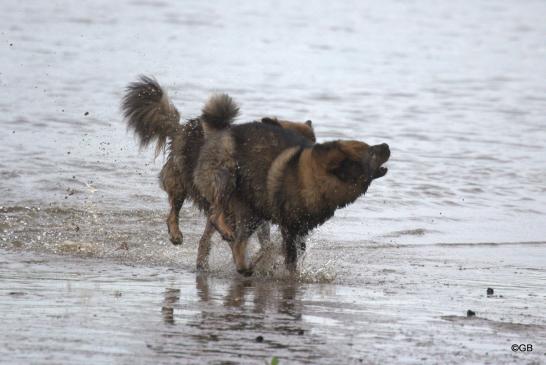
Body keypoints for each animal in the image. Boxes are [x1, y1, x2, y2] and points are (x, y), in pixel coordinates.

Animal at [120, 75, 314, 268]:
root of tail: (183, 128)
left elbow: (265, 242)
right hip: (185, 182)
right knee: (176, 212)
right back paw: (177, 235)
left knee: (208, 233)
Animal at [193, 95, 388, 274]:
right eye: (370, 151)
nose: (386, 145)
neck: (311, 177)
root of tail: (221, 133)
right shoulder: (289, 228)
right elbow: (288, 257)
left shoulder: (300, 229)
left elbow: (287, 251)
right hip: (229, 178)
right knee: (216, 218)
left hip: (252, 211)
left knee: (237, 242)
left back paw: (243, 266)